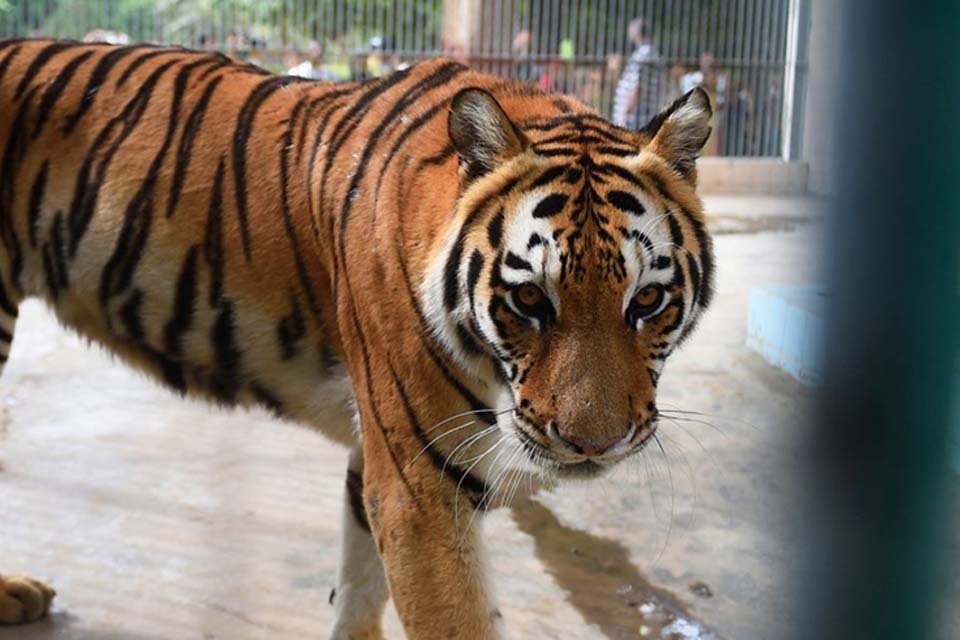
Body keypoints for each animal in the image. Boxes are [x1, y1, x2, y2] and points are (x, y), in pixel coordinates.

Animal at [0, 39, 714, 639]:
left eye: (646, 300)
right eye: (530, 299)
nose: (595, 444)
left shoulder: (378, 461)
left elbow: (359, 585)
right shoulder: (420, 490)